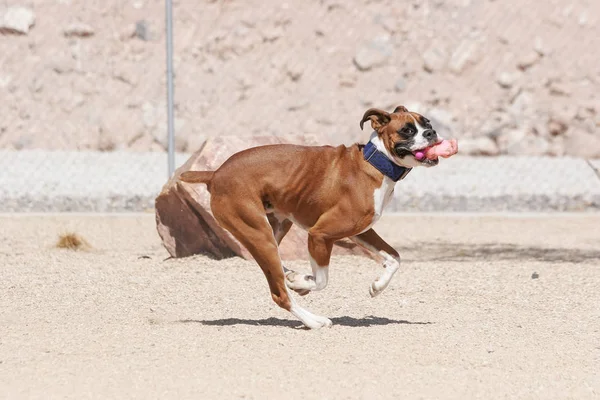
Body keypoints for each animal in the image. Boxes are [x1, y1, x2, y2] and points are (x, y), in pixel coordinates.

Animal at [180, 105, 448, 328]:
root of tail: (215, 174)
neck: (374, 163)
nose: (431, 133)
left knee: (275, 271)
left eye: (427, 123)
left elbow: (394, 258)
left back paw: (292, 276)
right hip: (259, 234)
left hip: (275, 228)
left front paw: (378, 286)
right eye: (407, 130)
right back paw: (313, 320)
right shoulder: (320, 234)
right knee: (280, 294)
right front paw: (303, 283)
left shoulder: (362, 232)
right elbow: (321, 280)